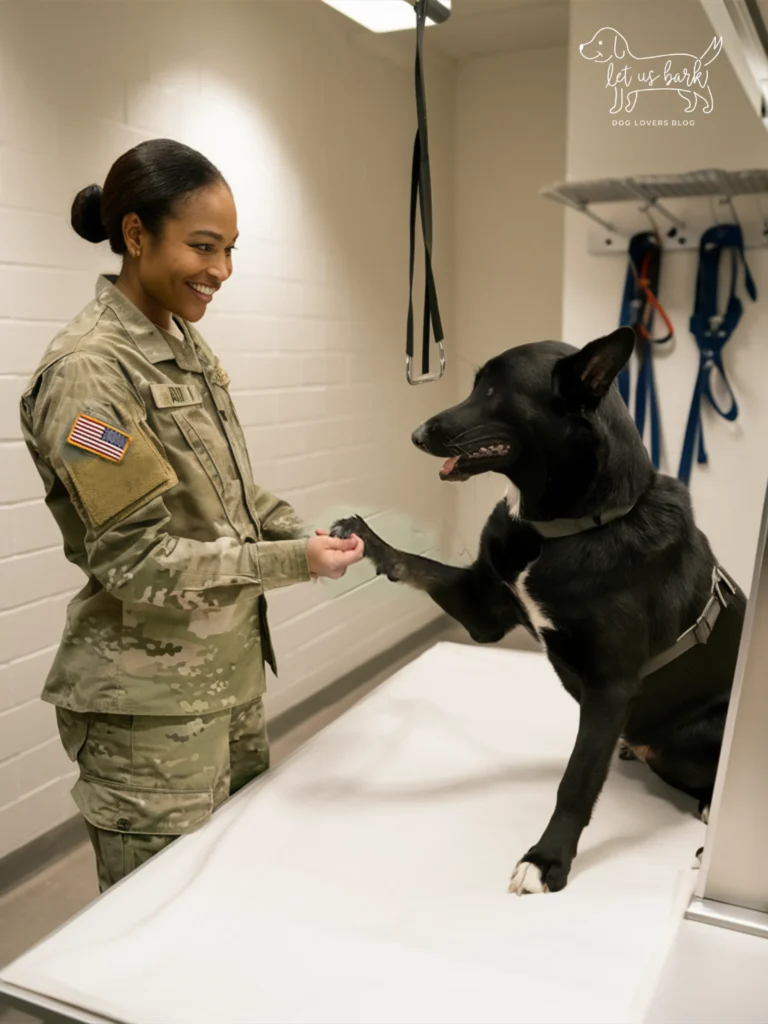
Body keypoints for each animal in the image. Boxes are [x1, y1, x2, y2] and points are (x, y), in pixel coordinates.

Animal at [333, 329, 749, 897]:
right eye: (475, 385)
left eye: (493, 391)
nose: (416, 434)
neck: (563, 531)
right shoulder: (484, 610)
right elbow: (414, 564)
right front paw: (364, 537)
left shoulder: (610, 687)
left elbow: (576, 781)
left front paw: (547, 860)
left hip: (699, 730)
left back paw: (708, 816)